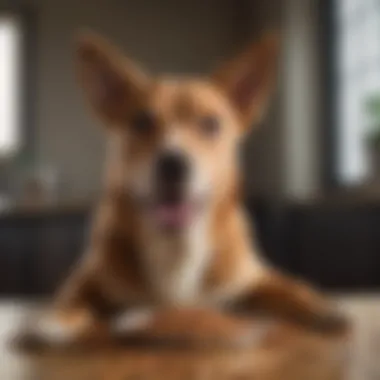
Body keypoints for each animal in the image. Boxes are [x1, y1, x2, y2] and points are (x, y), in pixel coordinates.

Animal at [19, 31, 348, 348]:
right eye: (141, 122)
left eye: (211, 123)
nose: (173, 164)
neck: (176, 247)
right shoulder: (87, 277)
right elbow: (70, 298)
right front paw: (57, 319)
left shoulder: (253, 275)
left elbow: (287, 287)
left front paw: (318, 305)